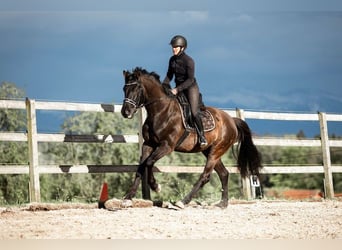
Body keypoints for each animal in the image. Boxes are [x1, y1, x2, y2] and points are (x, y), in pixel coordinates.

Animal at [120, 67, 262, 209]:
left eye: (137, 88)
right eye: (124, 88)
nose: (125, 112)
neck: (161, 111)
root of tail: (231, 120)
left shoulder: (167, 146)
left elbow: (149, 162)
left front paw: (156, 186)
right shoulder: (148, 144)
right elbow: (141, 167)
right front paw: (128, 198)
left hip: (216, 151)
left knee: (205, 176)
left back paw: (183, 202)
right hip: (210, 151)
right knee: (224, 174)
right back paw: (222, 203)